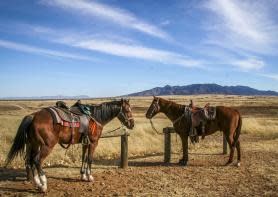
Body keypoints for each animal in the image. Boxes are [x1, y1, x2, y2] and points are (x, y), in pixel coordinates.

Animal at [5, 98, 134, 192]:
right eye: (127, 110)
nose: (132, 124)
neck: (96, 117)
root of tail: (33, 116)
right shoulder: (93, 142)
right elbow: (90, 159)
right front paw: (89, 177)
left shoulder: (85, 142)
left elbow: (84, 158)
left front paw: (83, 176)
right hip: (47, 145)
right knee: (37, 160)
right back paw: (44, 185)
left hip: (35, 144)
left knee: (31, 161)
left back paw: (37, 183)